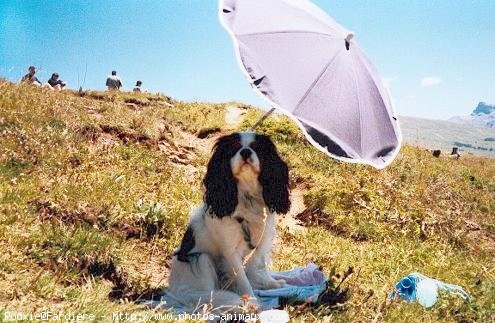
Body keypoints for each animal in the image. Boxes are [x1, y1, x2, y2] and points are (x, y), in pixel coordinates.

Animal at [167, 133, 290, 312]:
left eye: (256, 148)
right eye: (235, 148)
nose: (245, 151)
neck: (247, 197)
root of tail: (176, 290)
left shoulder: (262, 242)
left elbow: (259, 267)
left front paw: (270, 284)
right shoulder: (231, 252)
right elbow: (243, 280)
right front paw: (252, 301)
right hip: (200, 259)